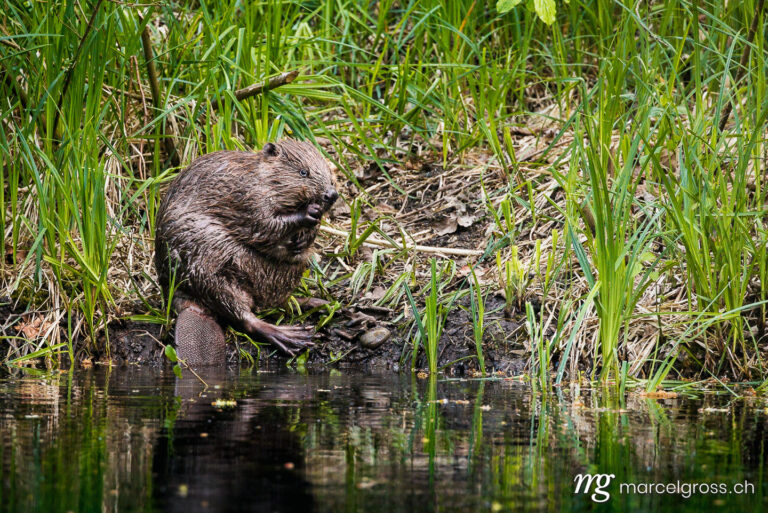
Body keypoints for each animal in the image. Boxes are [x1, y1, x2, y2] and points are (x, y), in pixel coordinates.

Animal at [154, 140, 338, 364]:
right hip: (209, 272)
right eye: (304, 172)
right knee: (243, 314)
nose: (331, 194)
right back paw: (291, 336)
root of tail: (189, 307)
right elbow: (264, 225)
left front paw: (307, 234)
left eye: (330, 173)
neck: (257, 175)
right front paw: (309, 213)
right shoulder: (248, 196)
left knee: (273, 303)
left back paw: (320, 303)